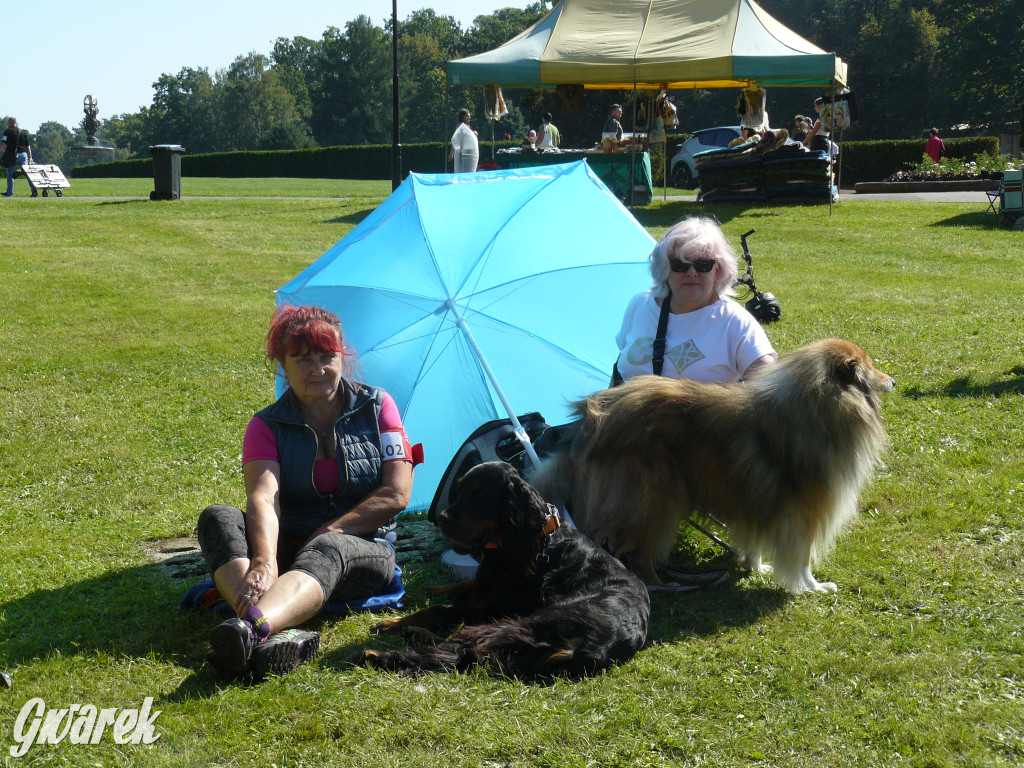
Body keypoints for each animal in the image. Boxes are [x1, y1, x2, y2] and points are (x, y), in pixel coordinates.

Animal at [358, 462, 647, 679]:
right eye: (460, 490)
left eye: (480, 496)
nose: (442, 519)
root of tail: (598, 646)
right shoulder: (487, 585)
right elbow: (467, 585)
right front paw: (436, 588)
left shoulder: (497, 608)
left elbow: (442, 609)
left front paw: (392, 622)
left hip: (525, 622)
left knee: (458, 649)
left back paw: (381, 653)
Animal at [532, 339, 892, 598]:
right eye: (871, 366)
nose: (892, 380)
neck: (821, 403)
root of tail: (593, 418)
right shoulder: (805, 512)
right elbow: (802, 559)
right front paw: (813, 588)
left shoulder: (760, 503)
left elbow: (755, 541)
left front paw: (757, 567)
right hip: (654, 500)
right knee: (634, 549)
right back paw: (662, 585)